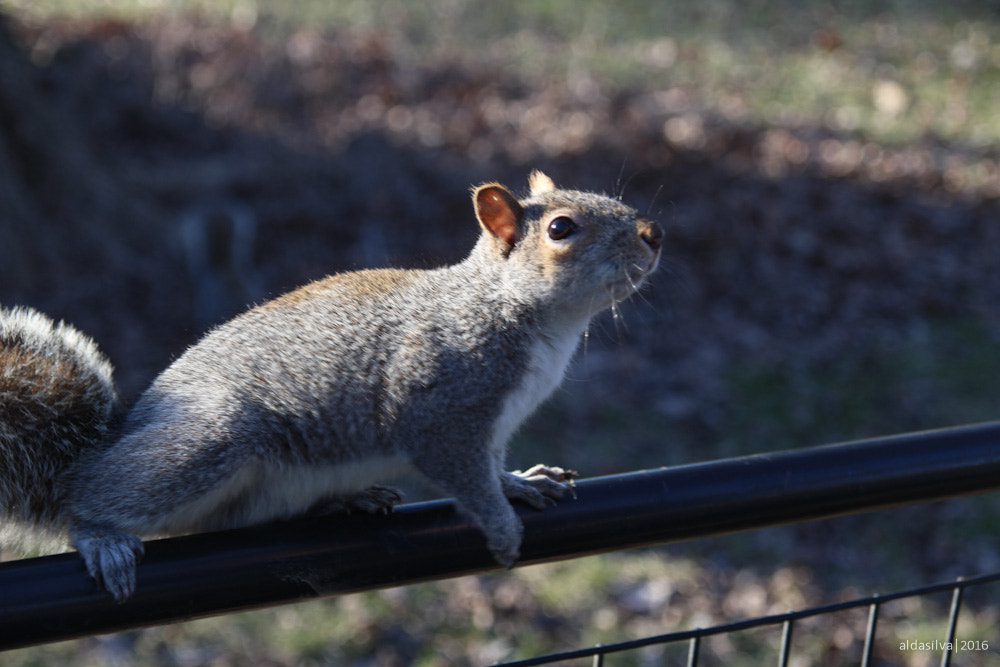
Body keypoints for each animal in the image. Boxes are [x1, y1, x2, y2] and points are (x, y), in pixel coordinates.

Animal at [0, 171, 662, 602]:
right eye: (561, 228)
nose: (653, 233)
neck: (533, 321)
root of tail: (113, 439)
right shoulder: (439, 405)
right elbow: (460, 472)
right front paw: (501, 528)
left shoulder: (490, 426)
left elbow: (491, 467)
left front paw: (520, 483)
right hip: (210, 441)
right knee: (90, 495)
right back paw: (99, 533)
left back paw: (346, 499)